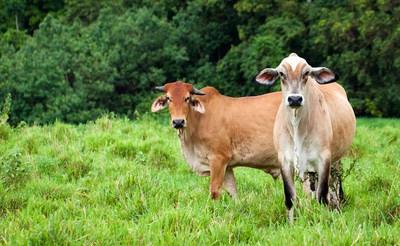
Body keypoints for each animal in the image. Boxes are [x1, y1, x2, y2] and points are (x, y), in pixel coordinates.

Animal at [151, 81, 282, 199]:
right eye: (169, 98)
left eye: (187, 98)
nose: (178, 122)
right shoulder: (227, 166)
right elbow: (232, 192)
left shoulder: (218, 158)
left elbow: (214, 191)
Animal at [255, 53, 354, 223]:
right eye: (281, 74)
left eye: (306, 73)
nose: (295, 99)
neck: (297, 128)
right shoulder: (284, 161)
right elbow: (290, 197)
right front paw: (291, 224)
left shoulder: (324, 159)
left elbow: (322, 196)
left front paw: (322, 221)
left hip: (336, 159)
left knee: (335, 185)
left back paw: (337, 206)